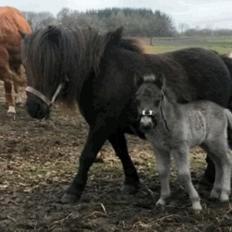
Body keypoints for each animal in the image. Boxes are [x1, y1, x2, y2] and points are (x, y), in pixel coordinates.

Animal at [22, 25, 232, 203]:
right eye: (26, 66)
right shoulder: (112, 127)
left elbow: (87, 154)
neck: (101, 75)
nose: (33, 109)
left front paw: (74, 190)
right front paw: (131, 182)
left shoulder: (102, 124)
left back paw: (209, 181)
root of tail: (220, 58)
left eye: (52, 65)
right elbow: (121, 152)